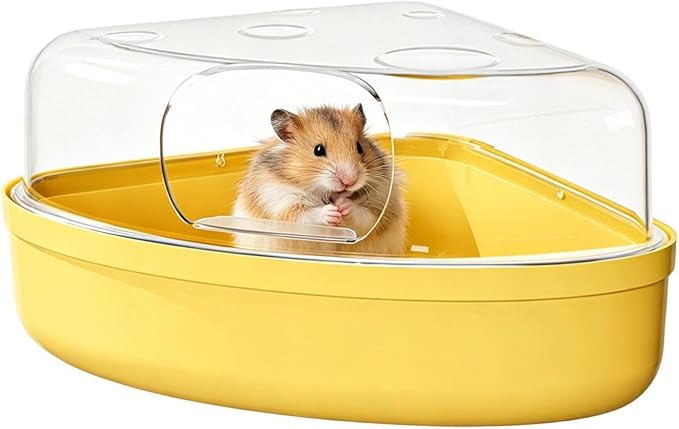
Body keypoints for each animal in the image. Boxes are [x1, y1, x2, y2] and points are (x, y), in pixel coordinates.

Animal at [232, 104, 407, 255]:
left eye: (359, 147)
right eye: (318, 150)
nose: (349, 181)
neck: (326, 193)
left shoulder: (379, 205)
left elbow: (364, 214)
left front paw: (343, 205)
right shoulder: (279, 203)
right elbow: (305, 216)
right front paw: (332, 212)